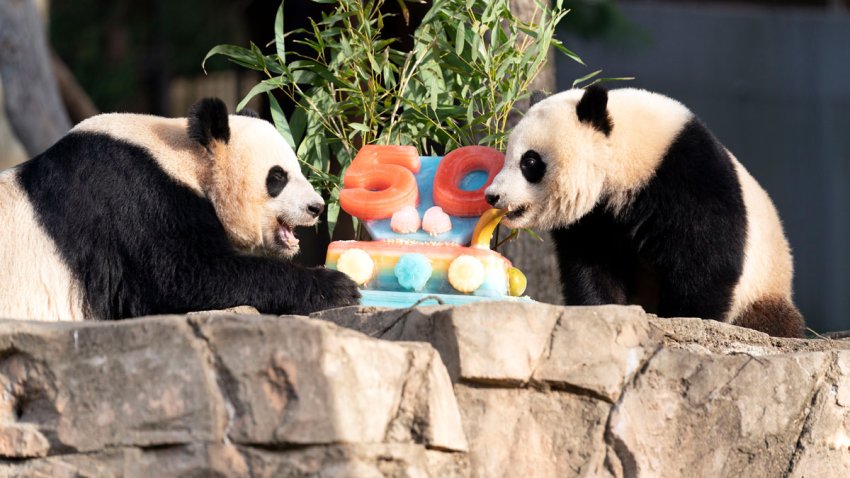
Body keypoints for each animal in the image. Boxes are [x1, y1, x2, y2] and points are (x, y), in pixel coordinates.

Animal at [0, 97, 358, 322]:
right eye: (278, 177)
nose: (316, 207)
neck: (183, 156)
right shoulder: (133, 200)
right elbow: (186, 278)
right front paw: (337, 286)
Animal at [484, 87, 800, 340]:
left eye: (530, 161)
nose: (493, 195)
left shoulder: (688, 176)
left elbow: (706, 260)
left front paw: (685, 319)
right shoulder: (594, 218)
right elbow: (592, 264)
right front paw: (603, 311)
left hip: (763, 286)